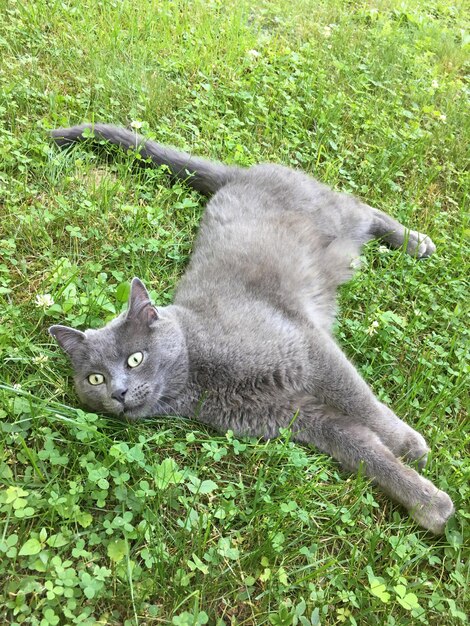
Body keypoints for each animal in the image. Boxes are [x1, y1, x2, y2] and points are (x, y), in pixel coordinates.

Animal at [49, 122, 454, 532]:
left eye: (135, 359)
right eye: (95, 379)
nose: (117, 392)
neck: (200, 377)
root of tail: (238, 174)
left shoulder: (307, 348)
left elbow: (362, 402)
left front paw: (410, 446)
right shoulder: (301, 416)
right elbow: (363, 450)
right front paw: (429, 504)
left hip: (332, 215)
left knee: (363, 207)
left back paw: (415, 242)